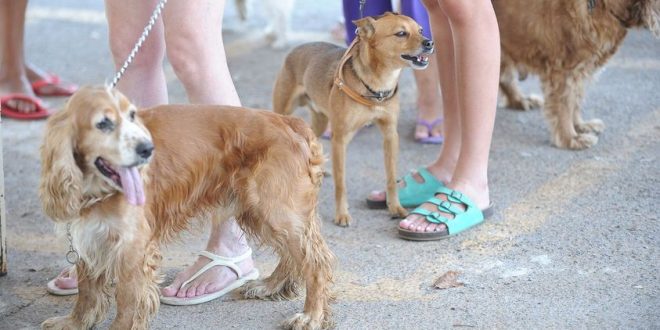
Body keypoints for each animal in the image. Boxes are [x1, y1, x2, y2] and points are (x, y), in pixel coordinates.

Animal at [38, 85, 336, 330]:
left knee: (316, 262)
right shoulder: (90, 236)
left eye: (132, 116)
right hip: (261, 211)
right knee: (293, 256)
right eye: (103, 123)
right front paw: (74, 323)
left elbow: (127, 302)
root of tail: (289, 122)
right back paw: (269, 286)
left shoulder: (133, 247)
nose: (148, 149)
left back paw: (310, 316)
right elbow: (87, 292)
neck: (97, 188)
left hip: (274, 210)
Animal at [272, 11, 434, 226]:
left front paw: (395, 207)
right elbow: (341, 183)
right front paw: (341, 214)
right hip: (285, 111)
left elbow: (391, 177)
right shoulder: (340, 140)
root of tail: (296, 49)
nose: (430, 42)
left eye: (421, 30)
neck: (378, 85)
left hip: (321, 121)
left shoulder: (390, 135)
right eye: (401, 33)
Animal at [498, 0, 656, 150]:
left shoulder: (579, 70)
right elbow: (565, 105)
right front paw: (570, 138)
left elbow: (575, 100)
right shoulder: (563, 71)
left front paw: (580, 126)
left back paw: (520, 100)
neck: (601, 7)